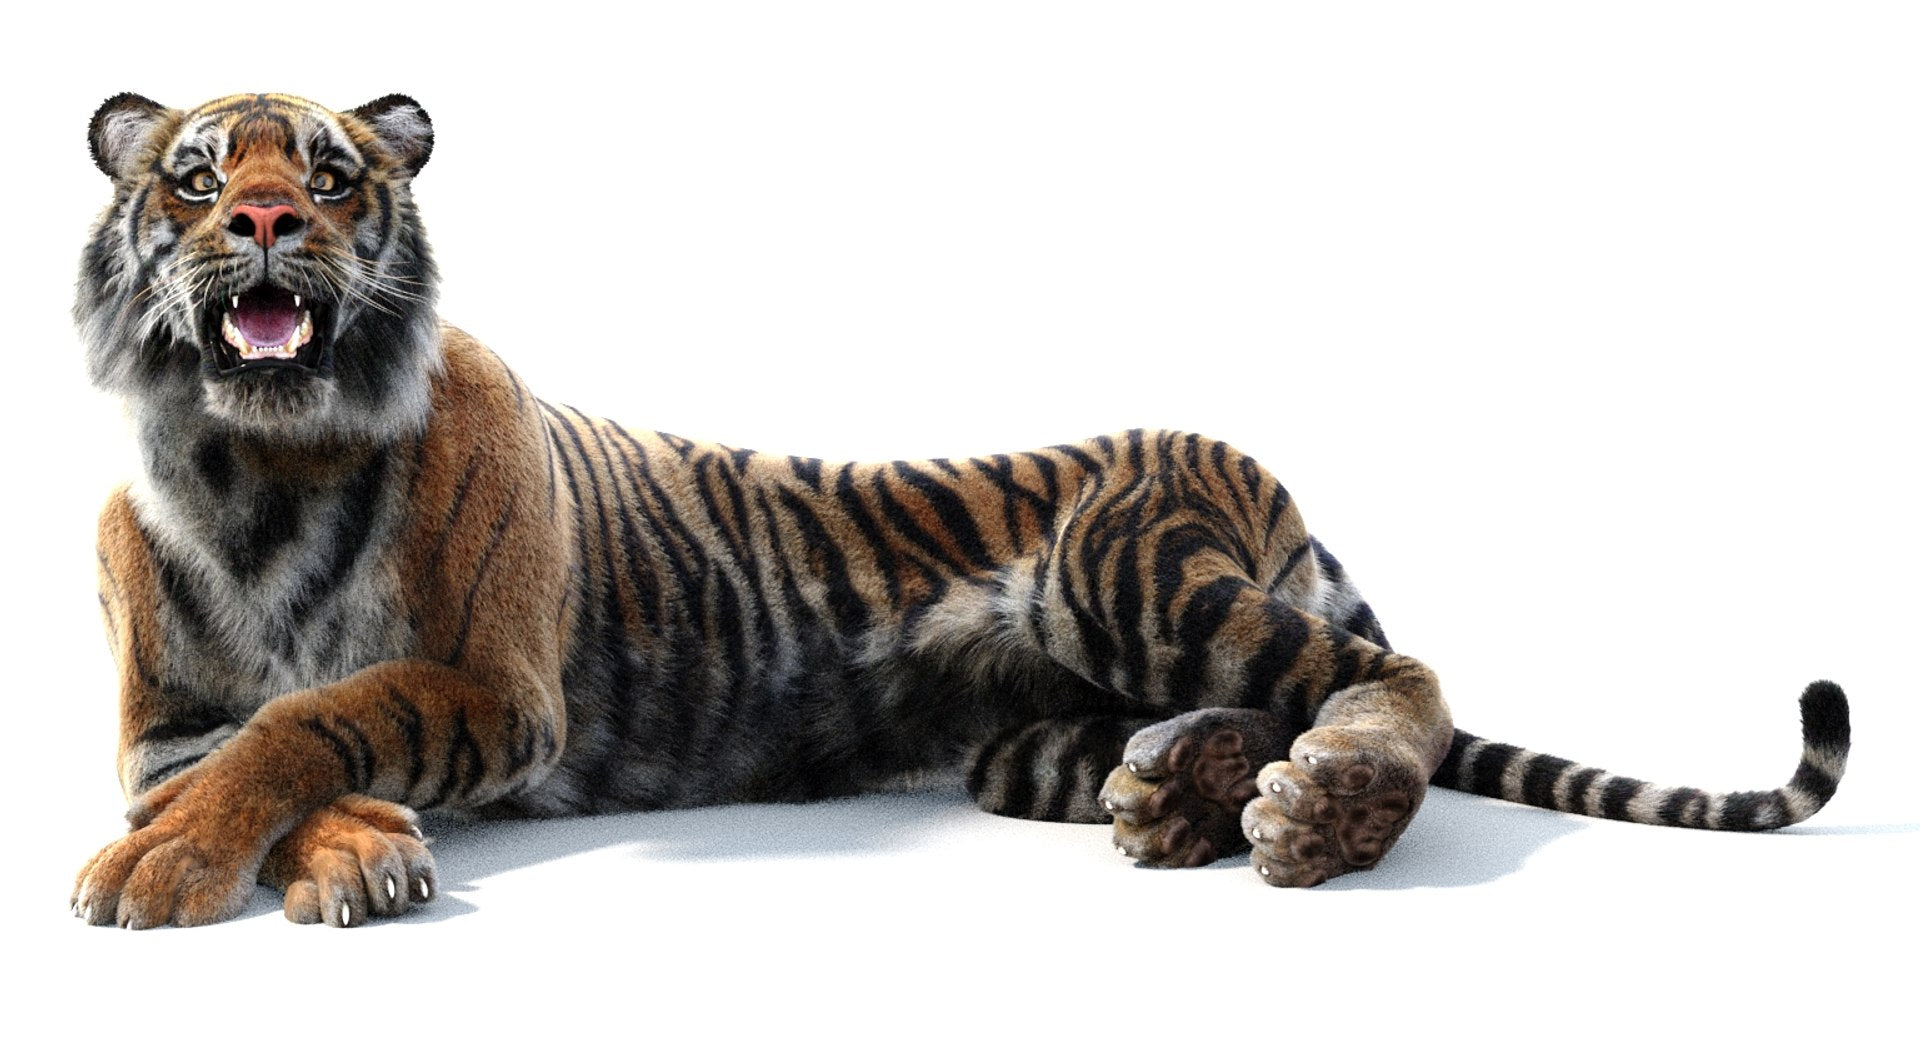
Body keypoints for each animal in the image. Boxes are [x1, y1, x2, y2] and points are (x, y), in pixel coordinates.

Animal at [71, 92, 1852, 928]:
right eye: (196, 174)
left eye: (332, 172)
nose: (267, 221)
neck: (262, 466)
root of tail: (1261, 473)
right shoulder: (169, 720)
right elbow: (262, 747)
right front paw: (319, 858)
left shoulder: (500, 684)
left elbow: (318, 719)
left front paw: (173, 869)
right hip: (1026, 729)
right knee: (1235, 714)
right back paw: (1181, 796)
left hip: (1127, 565)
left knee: (1386, 677)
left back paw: (1321, 813)